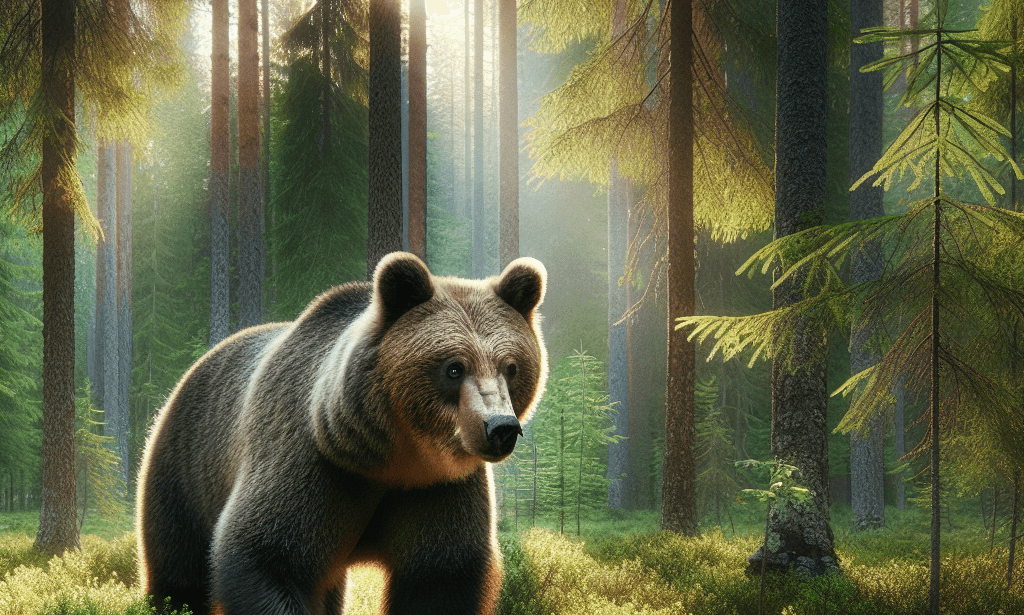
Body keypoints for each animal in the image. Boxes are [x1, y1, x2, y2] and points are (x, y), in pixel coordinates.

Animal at [135, 251, 547, 615]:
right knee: (179, 569)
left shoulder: (435, 489)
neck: (390, 457)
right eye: (454, 367)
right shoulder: (313, 465)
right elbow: (267, 554)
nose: (500, 427)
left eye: (511, 367)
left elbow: (440, 577)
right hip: (186, 468)